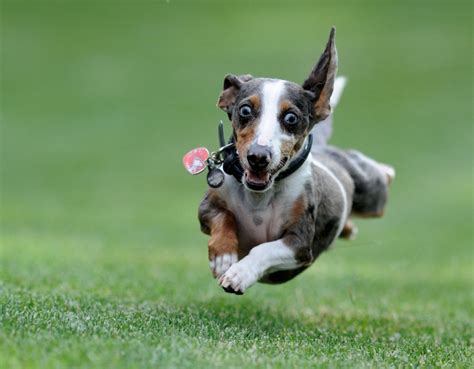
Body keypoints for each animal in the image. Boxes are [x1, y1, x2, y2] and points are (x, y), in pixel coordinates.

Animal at [198, 27, 394, 294]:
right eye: (245, 110)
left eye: (291, 117)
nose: (258, 157)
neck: (260, 197)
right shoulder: (207, 208)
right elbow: (222, 217)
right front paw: (223, 256)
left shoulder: (299, 244)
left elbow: (263, 249)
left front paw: (239, 274)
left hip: (372, 195)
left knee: (383, 177)